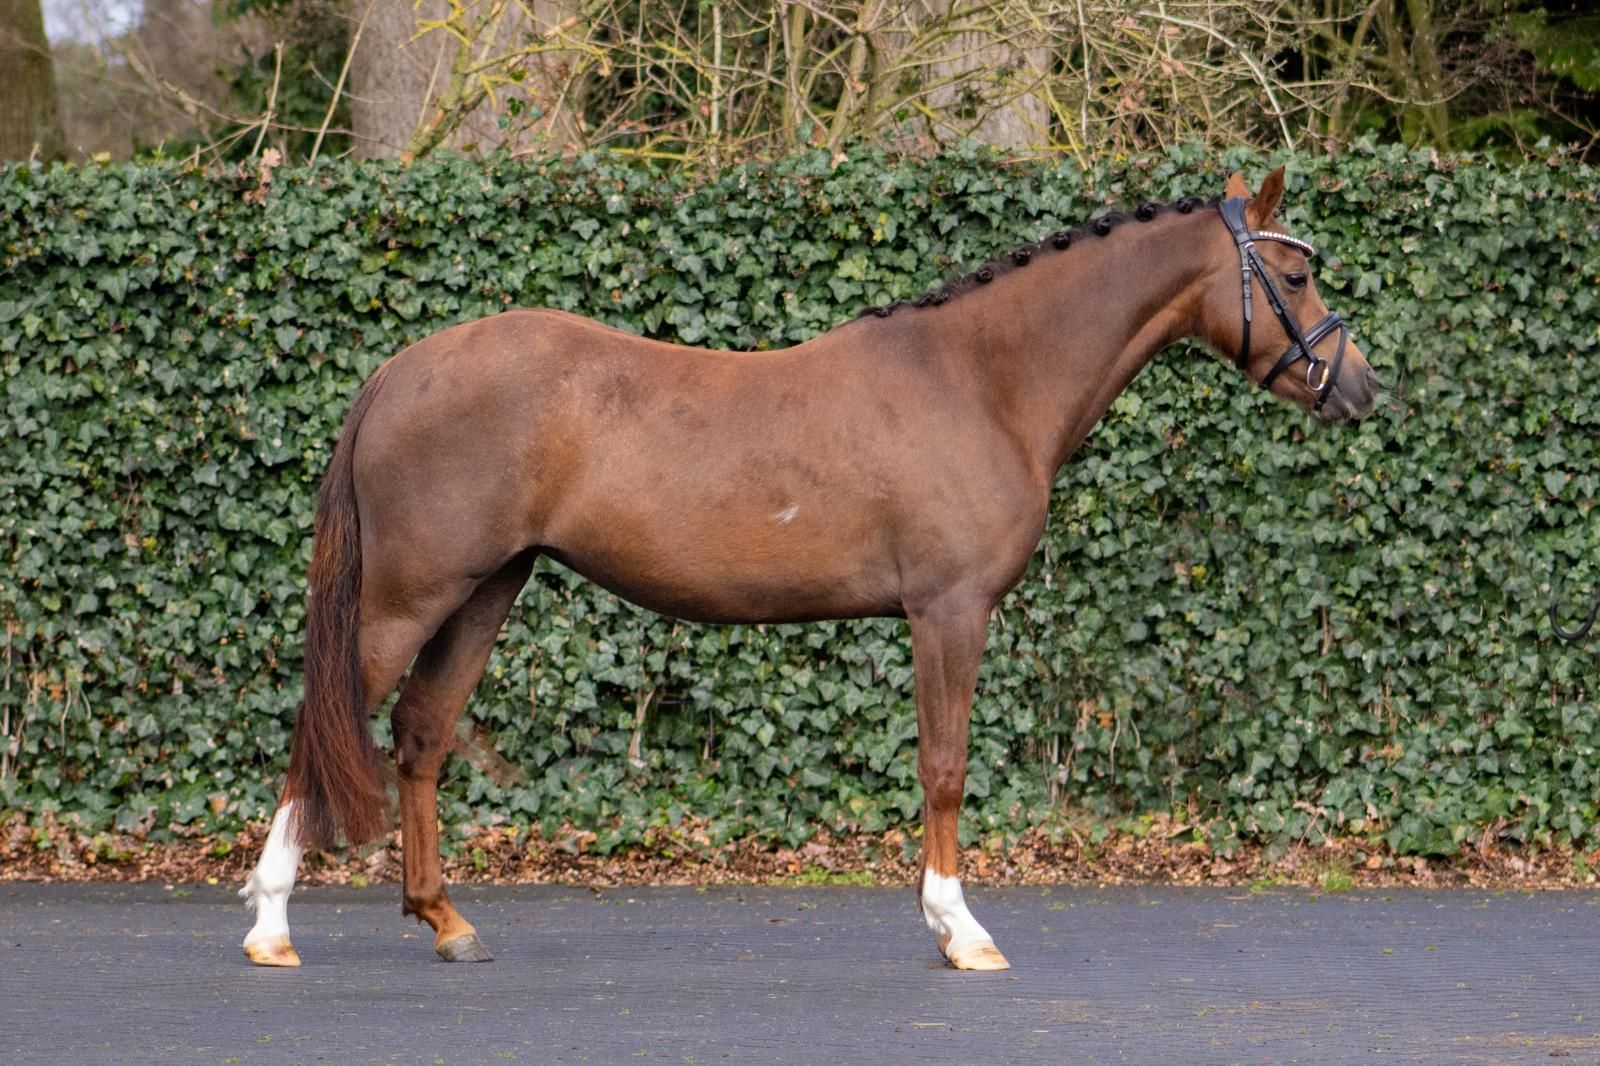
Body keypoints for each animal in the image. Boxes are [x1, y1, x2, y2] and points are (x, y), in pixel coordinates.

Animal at [240, 165, 1380, 972]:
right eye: (1292, 275)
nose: (1362, 387)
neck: (983, 381)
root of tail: (398, 370)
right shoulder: (948, 611)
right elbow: (944, 765)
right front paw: (960, 929)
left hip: (487, 589)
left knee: (421, 736)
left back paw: (446, 921)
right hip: (408, 597)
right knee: (323, 721)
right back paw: (271, 924)